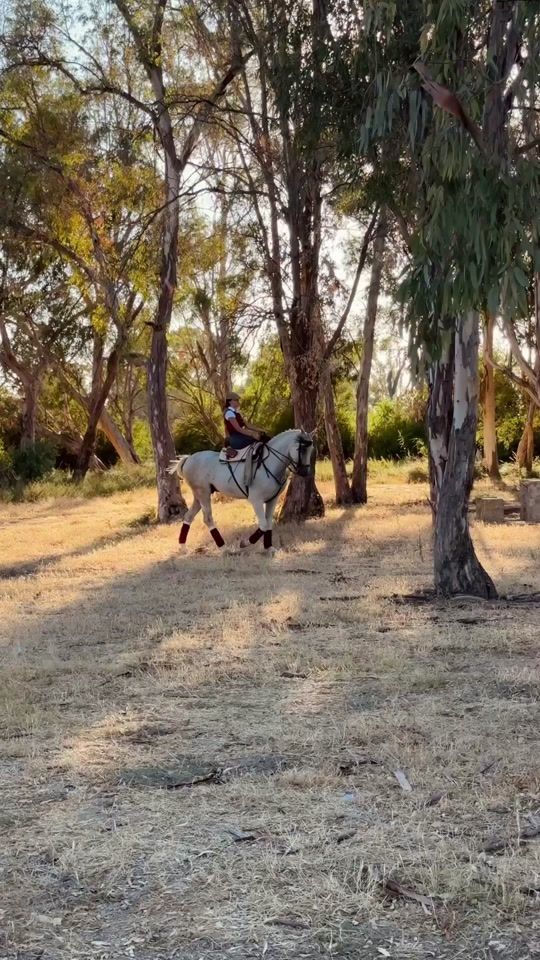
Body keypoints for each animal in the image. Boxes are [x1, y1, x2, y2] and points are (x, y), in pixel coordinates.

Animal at [167, 429, 315, 552]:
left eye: (311, 449)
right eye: (301, 449)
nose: (304, 472)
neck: (270, 463)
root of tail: (189, 458)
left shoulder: (272, 499)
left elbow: (268, 523)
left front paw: (269, 548)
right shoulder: (256, 500)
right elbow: (263, 525)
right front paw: (244, 543)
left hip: (199, 495)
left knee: (188, 516)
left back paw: (183, 547)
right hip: (203, 493)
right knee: (207, 518)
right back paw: (224, 548)